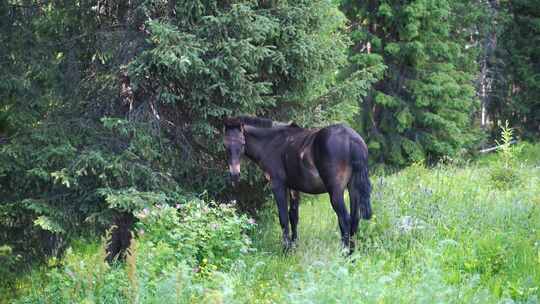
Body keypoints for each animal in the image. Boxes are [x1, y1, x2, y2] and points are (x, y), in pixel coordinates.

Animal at [224, 116, 372, 252]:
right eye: (225, 145)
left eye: (242, 143)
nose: (234, 174)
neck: (271, 142)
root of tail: (351, 138)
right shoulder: (293, 188)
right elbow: (293, 216)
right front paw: (294, 246)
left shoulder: (278, 185)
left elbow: (283, 217)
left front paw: (286, 250)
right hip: (353, 188)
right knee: (355, 219)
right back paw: (352, 254)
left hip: (335, 191)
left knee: (345, 219)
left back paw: (345, 253)